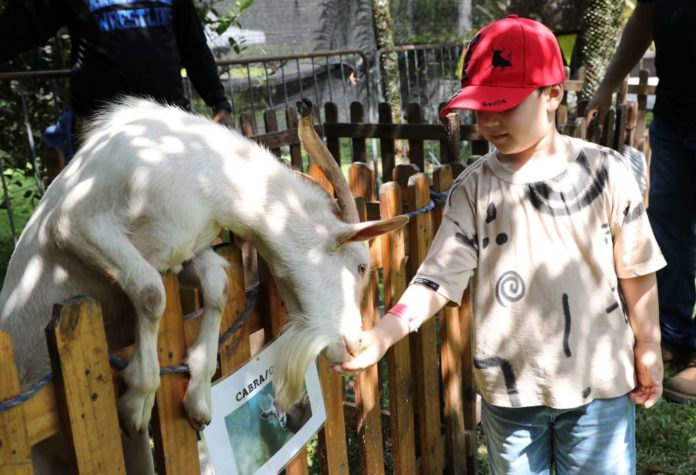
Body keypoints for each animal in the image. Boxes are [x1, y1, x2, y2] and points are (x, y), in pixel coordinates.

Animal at [0, 97, 407, 473]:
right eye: (361, 266)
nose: (354, 346)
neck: (202, 169)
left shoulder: (182, 251)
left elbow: (218, 286)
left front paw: (198, 399)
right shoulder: (77, 224)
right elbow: (151, 292)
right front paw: (137, 399)